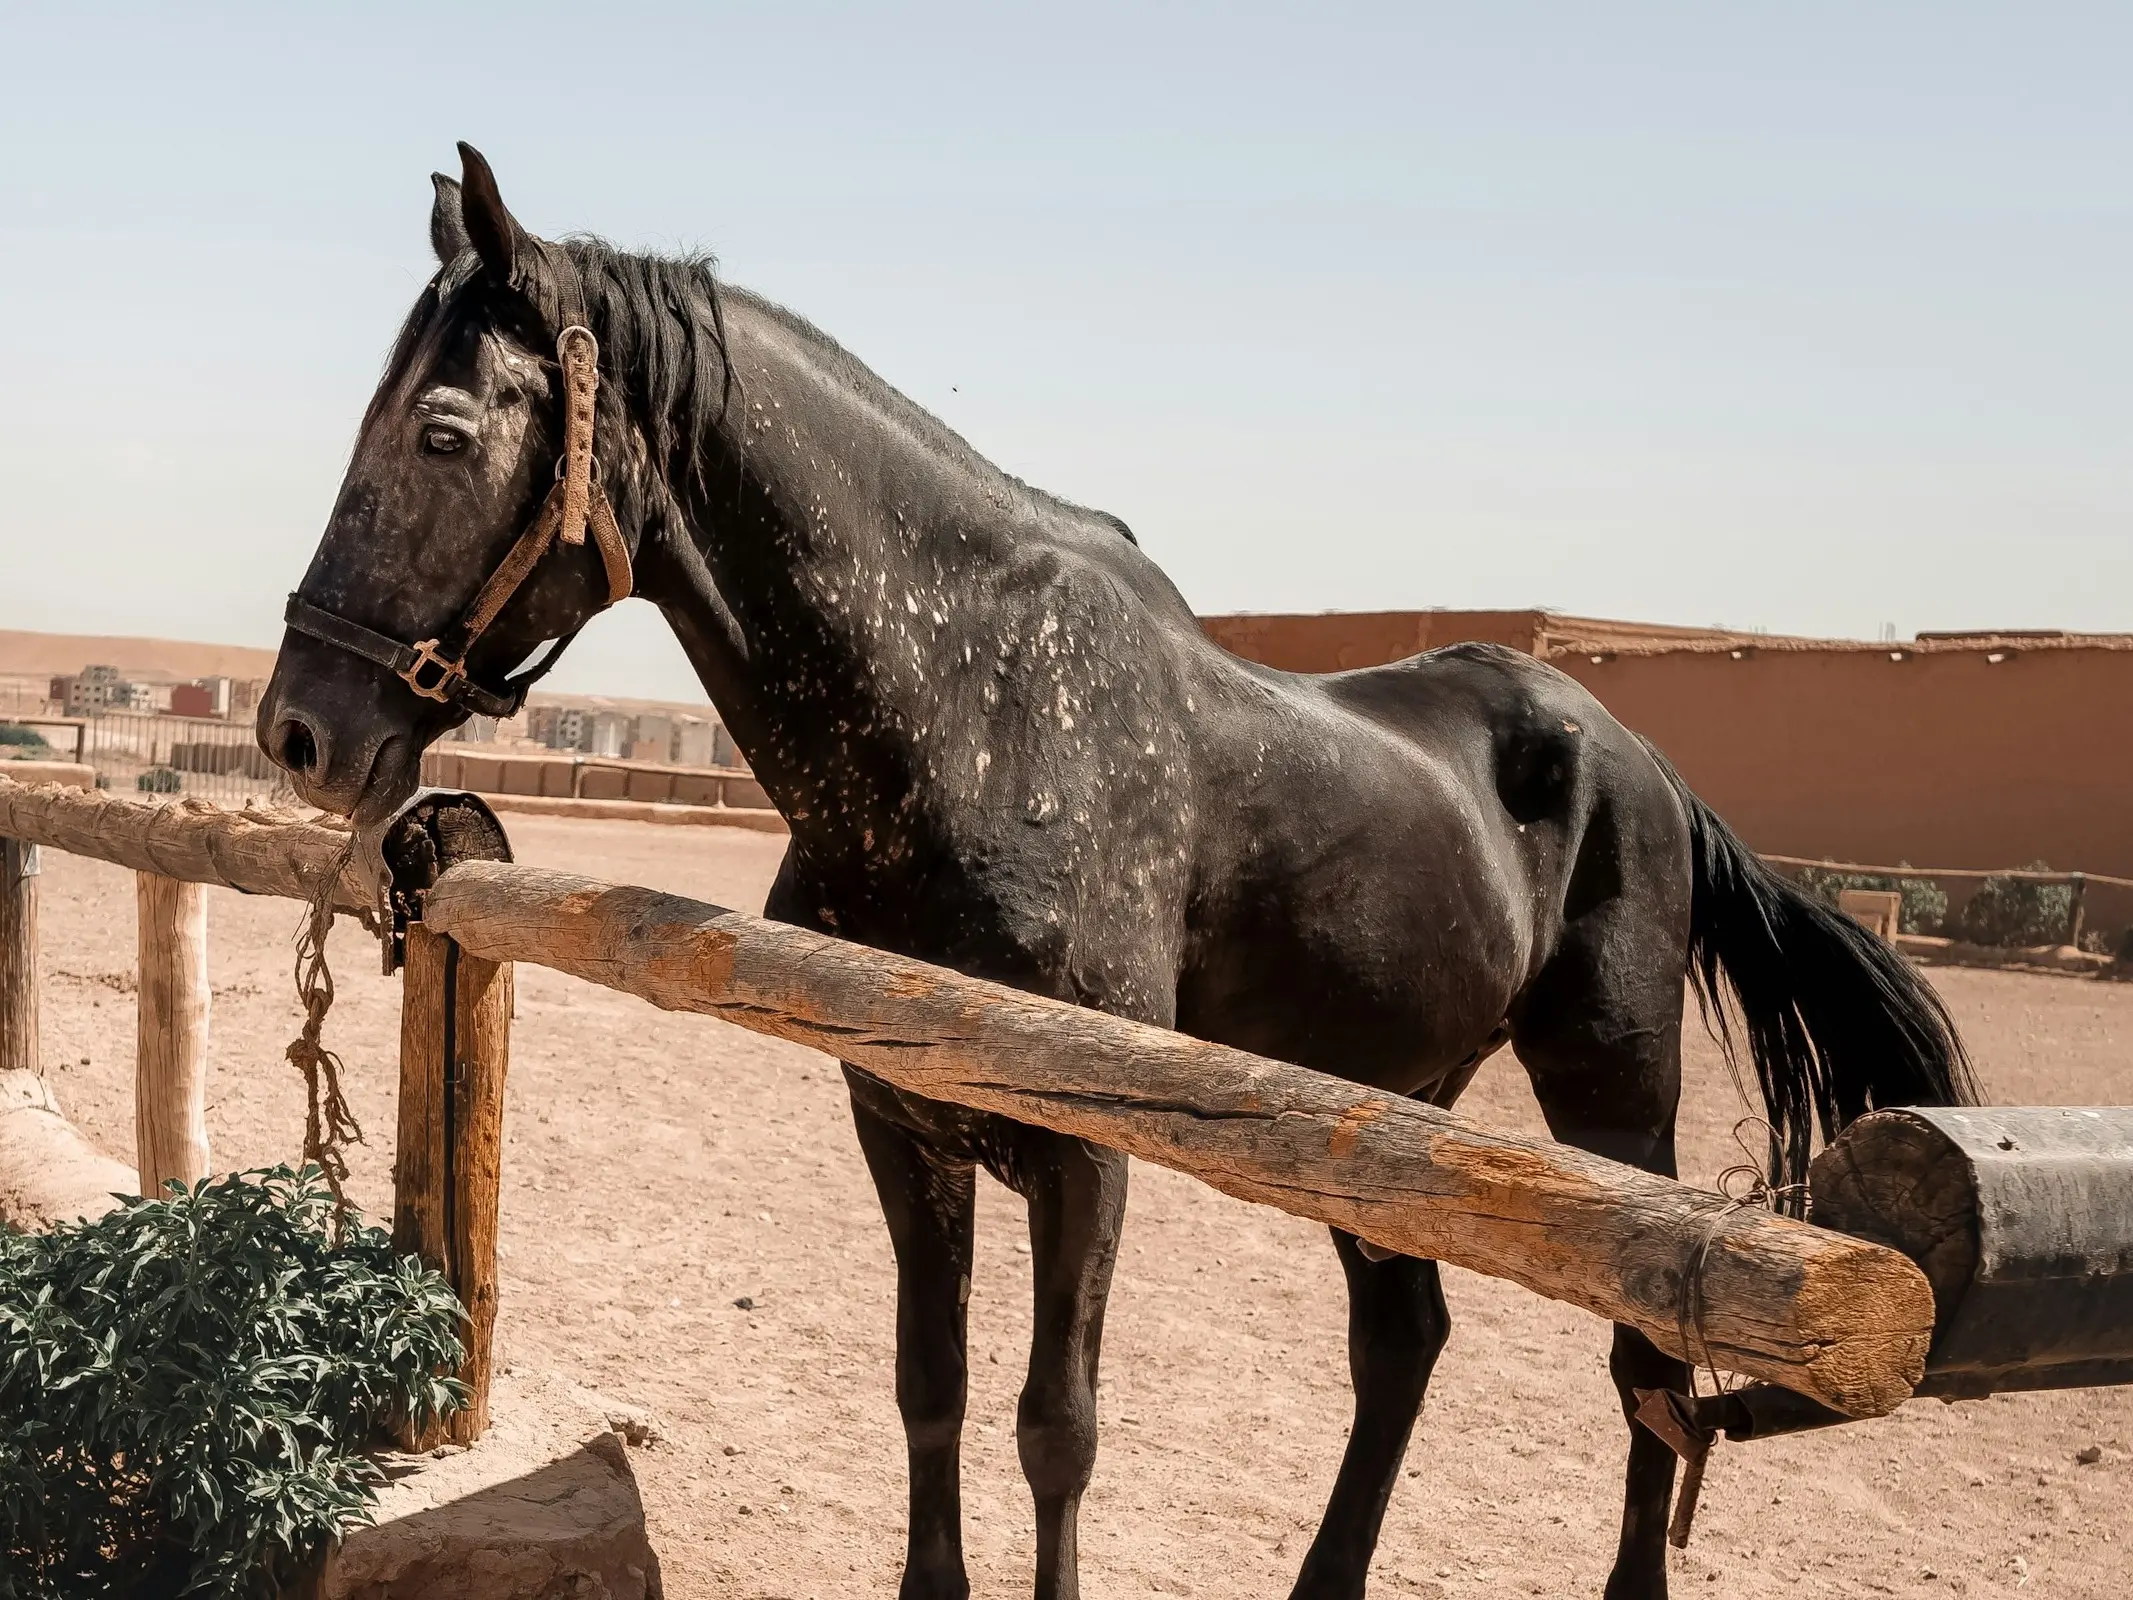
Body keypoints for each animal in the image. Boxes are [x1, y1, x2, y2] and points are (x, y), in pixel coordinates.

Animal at [258, 144, 1970, 1595]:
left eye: (443, 432)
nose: (299, 731)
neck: (972, 720)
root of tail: (1639, 759)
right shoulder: (901, 1122)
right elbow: (931, 1389)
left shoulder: (1088, 1151)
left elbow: (1054, 1428)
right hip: (1386, 1111)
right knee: (1403, 1339)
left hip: (1611, 1088)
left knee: (1646, 1363)